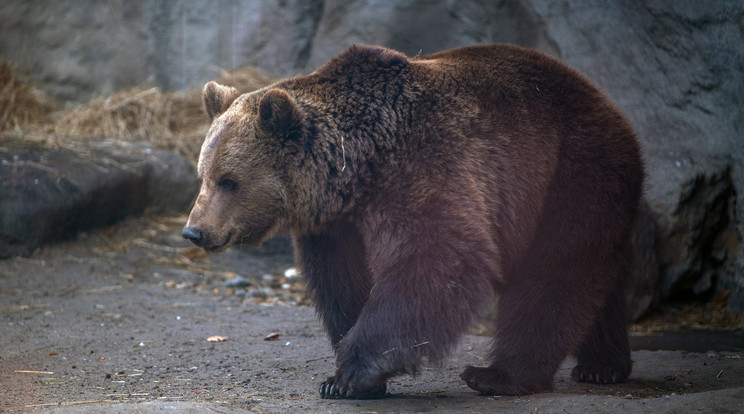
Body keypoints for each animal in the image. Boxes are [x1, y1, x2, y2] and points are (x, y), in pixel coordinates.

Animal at [182, 43, 644, 400]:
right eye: (203, 175)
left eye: (230, 181)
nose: (194, 230)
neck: (355, 169)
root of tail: (608, 102)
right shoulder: (334, 226)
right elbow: (342, 282)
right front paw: (344, 378)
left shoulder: (422, 165)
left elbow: (437, 257)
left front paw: (354, 371)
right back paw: (603, 365)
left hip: (570, 171)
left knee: (555, 271)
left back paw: (499, 375)